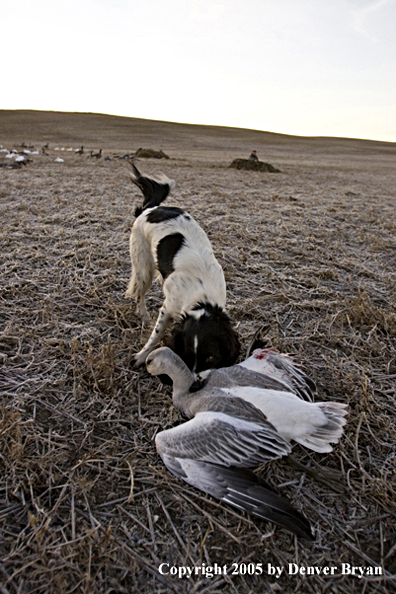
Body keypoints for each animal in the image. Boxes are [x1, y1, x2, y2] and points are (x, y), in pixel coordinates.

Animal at [125, 163, 240, 370]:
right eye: (186, 354)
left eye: (211, 358)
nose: (195, 379)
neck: (201, 295)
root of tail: (150, 208)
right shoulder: (167, 309)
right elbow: (156, 336)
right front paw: (142, 355)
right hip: (143, 267)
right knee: (140, 293)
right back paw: (144, 315)